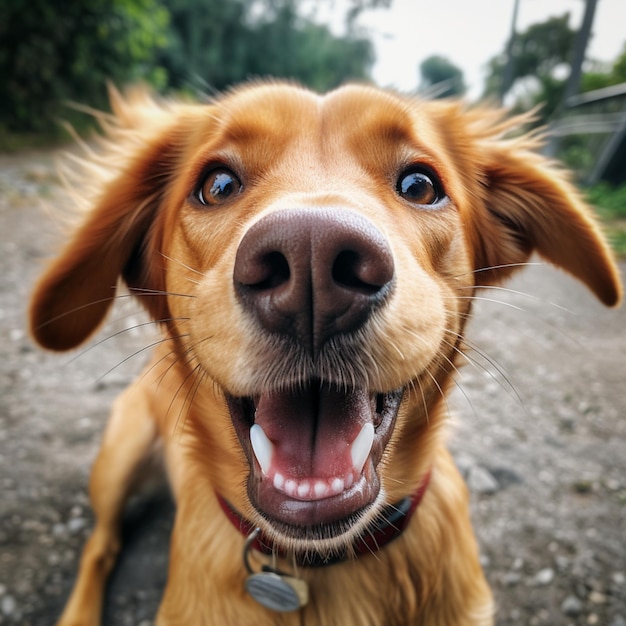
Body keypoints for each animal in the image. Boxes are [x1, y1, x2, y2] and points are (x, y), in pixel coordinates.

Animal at [29, 83, 620, 624]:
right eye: (217, 184)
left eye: (420, 184)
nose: (310, 259)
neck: (316, 564)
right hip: (118, 457)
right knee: (101, 544)